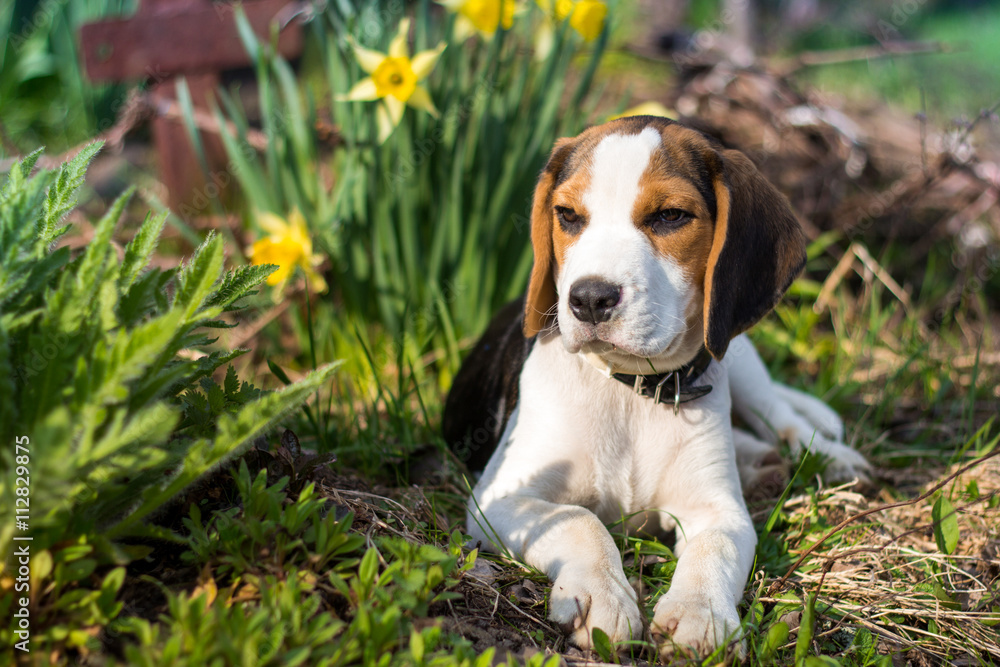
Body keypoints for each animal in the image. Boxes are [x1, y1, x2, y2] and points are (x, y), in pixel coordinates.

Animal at [444, 116, 868, 656]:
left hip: (736, 353)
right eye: (567, 215)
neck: (633, 389)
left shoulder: (719, 511)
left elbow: (714, 546)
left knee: (780, 415)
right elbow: (581, 521)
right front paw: (602, 594)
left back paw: (824, 457)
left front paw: (700, 614)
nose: (589, 298)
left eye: (670, 216)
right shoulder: (500, 498)